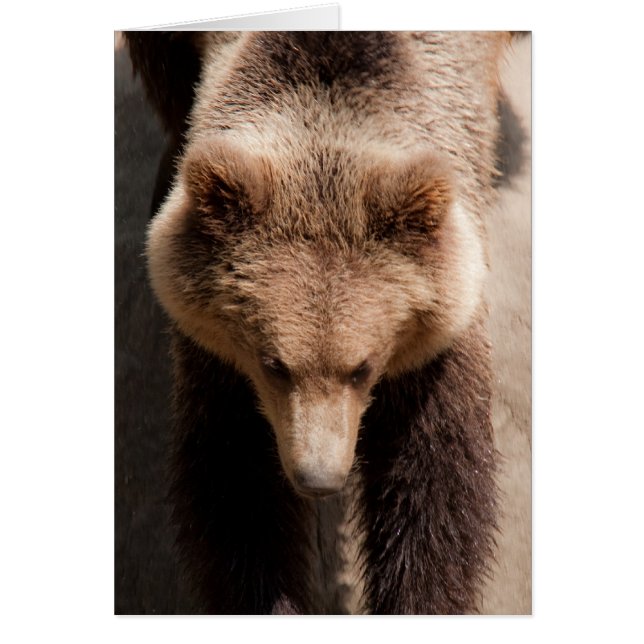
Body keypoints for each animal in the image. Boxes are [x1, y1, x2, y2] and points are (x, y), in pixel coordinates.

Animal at [125, 31, 509, 614]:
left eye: (363, 366)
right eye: (274, 364)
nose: (318, 478)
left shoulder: (441, 335)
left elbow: (435, 486)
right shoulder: (220, 356)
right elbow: (236, 488)